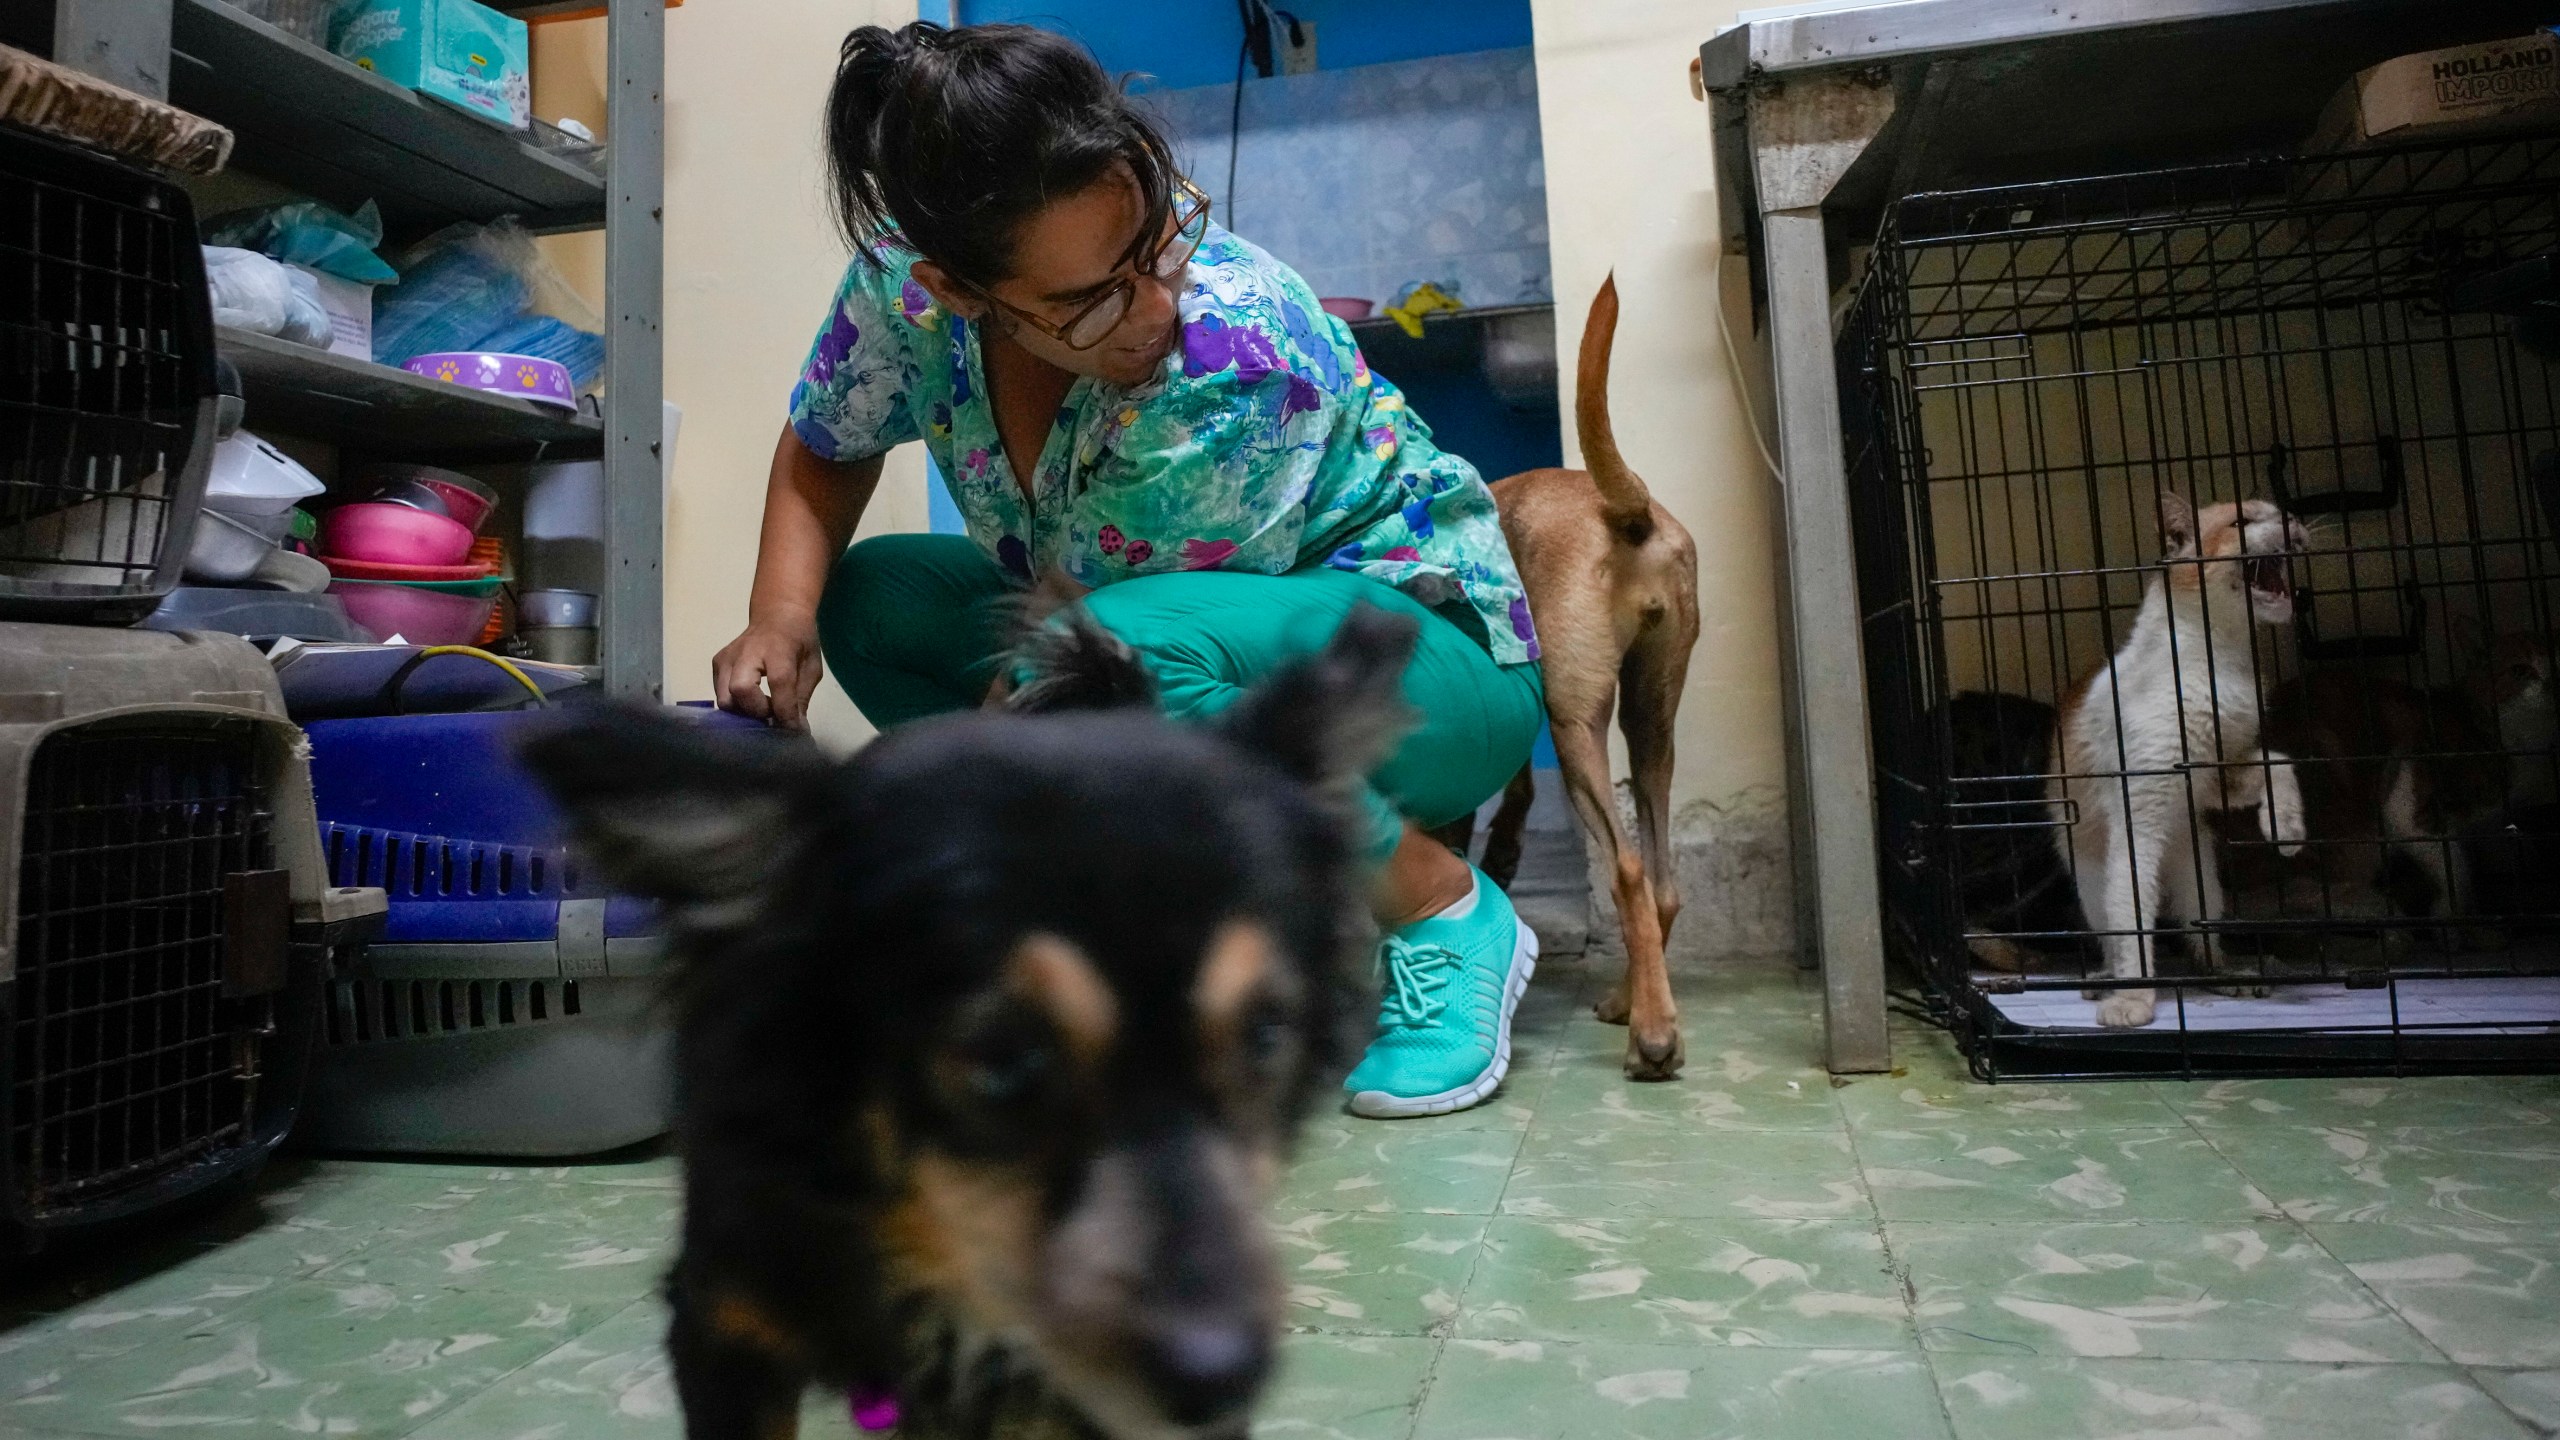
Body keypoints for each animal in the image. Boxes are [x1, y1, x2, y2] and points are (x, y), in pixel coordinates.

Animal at [1464, 274, 1699, 1071]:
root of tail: (1627, 513)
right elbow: (1513, 783)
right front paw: (1502, 849)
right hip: (1651, 718)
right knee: (1661, 885)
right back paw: (1633, 1001)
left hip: (1577, 725)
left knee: (1627, 870)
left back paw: (1652, 1038)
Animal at [2048, 491, 2314, 1019]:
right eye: (2241, 522)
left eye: (2281, 512)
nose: (2293, 519)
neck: (2220, 659)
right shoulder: (2140, 814)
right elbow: (2133, 919)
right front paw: (2133, 998)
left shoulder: (2215, 776)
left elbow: (2277, 759)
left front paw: (2286, 826)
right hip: (2093, 876)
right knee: (2117, 929)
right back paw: (2105, 980)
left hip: (2201, 876)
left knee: (2200, 938)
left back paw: (2230, 975)